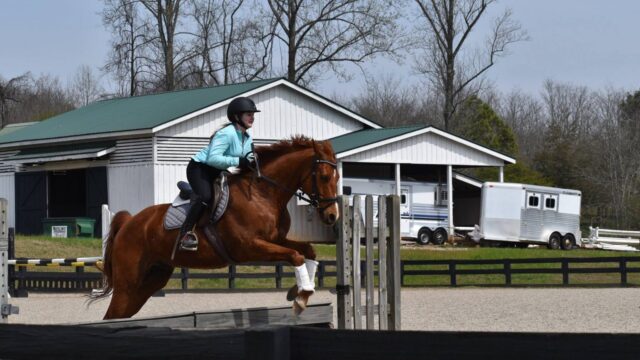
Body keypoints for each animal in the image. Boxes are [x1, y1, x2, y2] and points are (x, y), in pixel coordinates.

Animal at [91, 136, 340, 320]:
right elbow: (295, 255)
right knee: (112, 315)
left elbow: (308, 251)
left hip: (150, 280)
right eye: (324, 176)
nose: (332, 216)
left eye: (338, 177)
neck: (263, 194)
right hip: (128, 283)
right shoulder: (250, 247)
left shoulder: (276, 239)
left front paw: (299, 291)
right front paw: (301, 297)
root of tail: (129, 222)